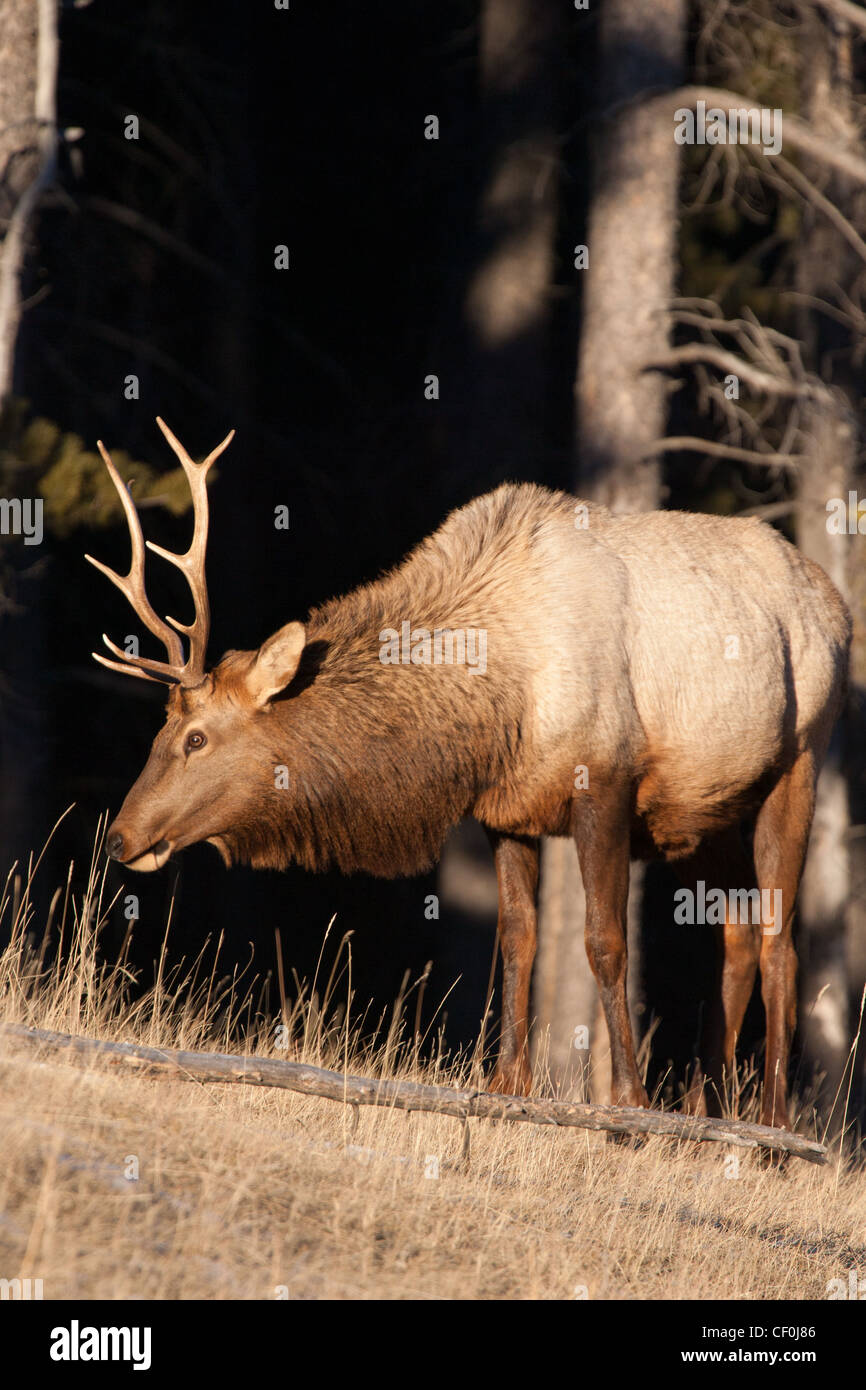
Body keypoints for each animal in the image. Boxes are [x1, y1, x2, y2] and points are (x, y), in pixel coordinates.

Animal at [89, 417, 856, 1123]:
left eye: (195, 738)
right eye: (164, 729)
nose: (120, 836)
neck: (494, 702)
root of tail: (840, 607)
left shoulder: (605, 780)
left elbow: (604, 941)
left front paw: (629, 1104)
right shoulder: (506, 809)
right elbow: (516, 940)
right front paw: (507, 1086)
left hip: (801, 759)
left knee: (780, 941)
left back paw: (773, 1127)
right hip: (699, 813)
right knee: (735, 932)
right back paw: (706, 1111)